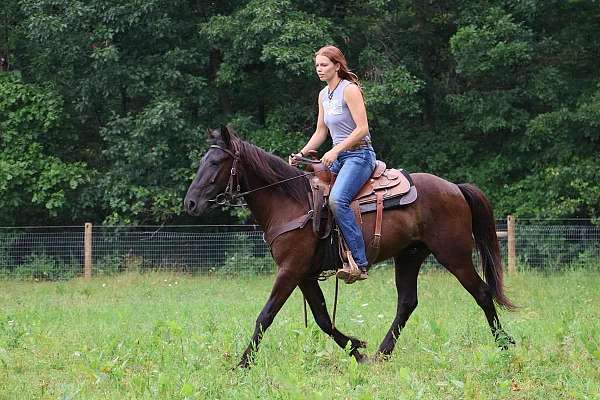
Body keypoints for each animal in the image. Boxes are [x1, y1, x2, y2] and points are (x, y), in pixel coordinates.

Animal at [185, 126, 512, 368]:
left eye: (215, 163)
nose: (190, 204)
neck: (291, 202)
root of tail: (455, 187)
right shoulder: (304, 274)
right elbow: (322, 319)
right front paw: (358, 349)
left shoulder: (290, 270)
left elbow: (266, 315)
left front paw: (242, 363)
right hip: (409, 256)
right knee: (407, 303)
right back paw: (380, 355)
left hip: (454, 256)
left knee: (483, 294)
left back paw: (505, 346)